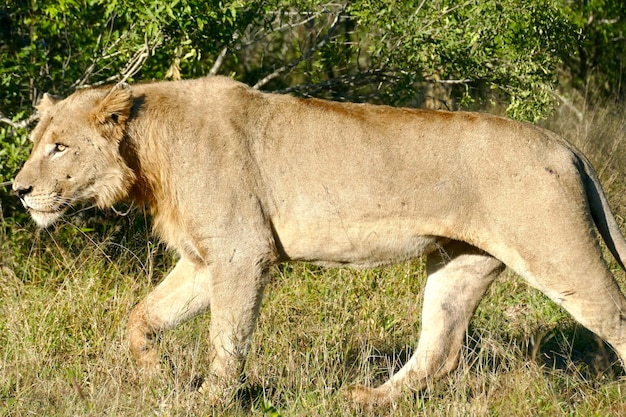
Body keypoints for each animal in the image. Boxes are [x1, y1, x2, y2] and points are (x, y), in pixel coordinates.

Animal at [13, 76, 626, 404]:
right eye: (39, 141)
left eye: (60, 147)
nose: (17, 190)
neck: (146, 154)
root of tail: (565, 144)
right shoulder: (204, 258)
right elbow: (142, 317)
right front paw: (155, 376)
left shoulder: (241, 251)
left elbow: (226, 340)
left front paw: (210, 400)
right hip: (462, 264)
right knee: (440, 348)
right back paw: (369, 399)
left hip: (555, 250)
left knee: (614, 315)